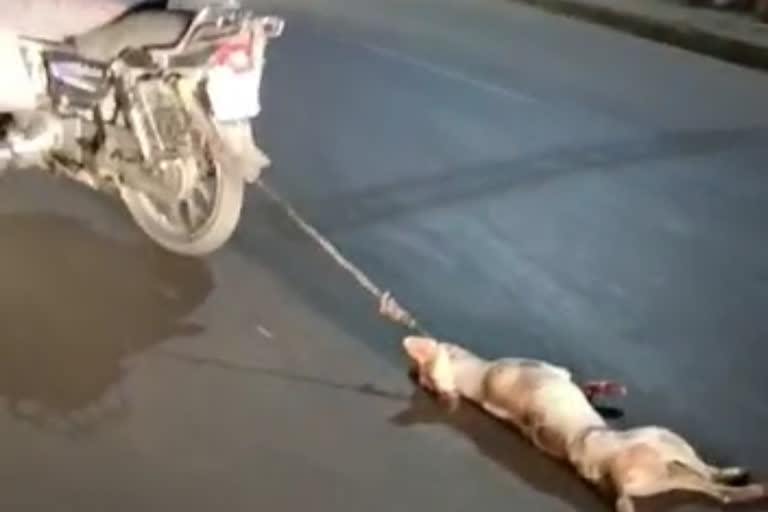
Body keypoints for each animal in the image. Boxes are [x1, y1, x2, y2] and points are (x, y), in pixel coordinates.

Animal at [404, 336, 764, 512]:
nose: (423, 379)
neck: (477, 379)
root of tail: (608, 468)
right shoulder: (554, 371)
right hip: (666, 443)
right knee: (709, 478)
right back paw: (744, 481)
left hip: (661, 478)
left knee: (713, 489)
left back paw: (746, 488)